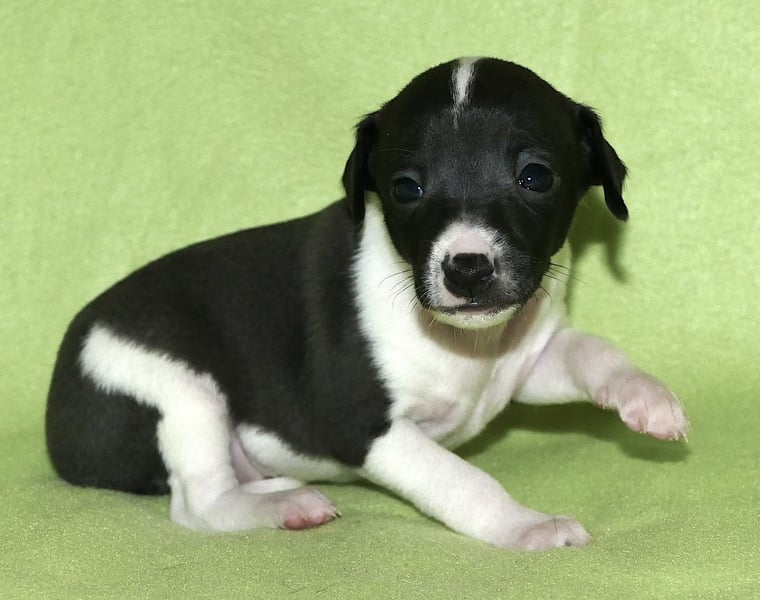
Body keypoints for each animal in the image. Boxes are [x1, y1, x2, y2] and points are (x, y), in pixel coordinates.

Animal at [46, 57, 688, 550]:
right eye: (406, 188)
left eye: (535, 177)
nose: (467, 268)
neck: (467, 346)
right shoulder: (363, 427)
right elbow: (461, 479)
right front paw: (525, 527)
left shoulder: (528, 361)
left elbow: (593, 352)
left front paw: (645, 396)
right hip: (180, 389)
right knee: (198, 502)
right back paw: (280, 507)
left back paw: (278, 489)